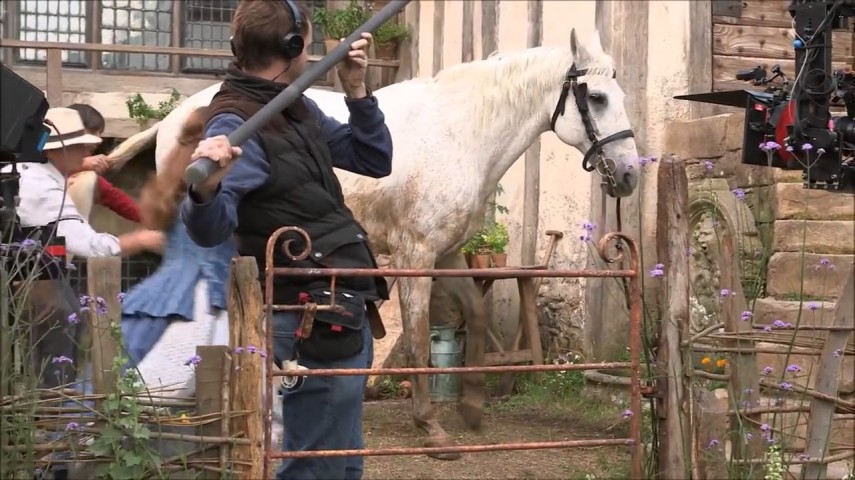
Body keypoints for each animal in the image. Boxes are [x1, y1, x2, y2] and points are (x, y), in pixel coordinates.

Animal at [108, 29, 640, 458]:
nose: (630, 174)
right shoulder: (415, 255)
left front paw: (471, 406)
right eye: (594, 97)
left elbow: (475, 311)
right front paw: (432, 429)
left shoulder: (446, 254)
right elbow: (420, 336)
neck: (460, 134)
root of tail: (176, 116)